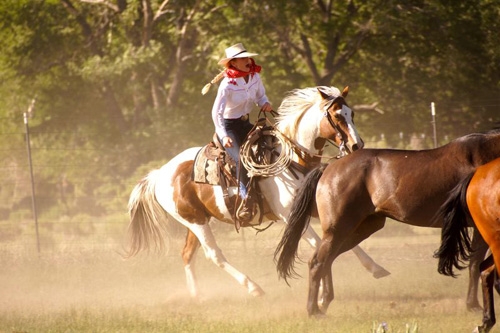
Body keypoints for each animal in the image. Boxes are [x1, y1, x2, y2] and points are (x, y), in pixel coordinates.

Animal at [123, 85, 388, 296]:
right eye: (335, 115)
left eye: (351, 113)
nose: (357, 145)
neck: (293, 160)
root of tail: (161, 173)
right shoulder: (290, 217)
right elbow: (318, 243)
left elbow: (337, 238)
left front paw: (377, 268)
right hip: (194, 221)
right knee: (214, 255)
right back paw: (253, 287)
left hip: (197, 221)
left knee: (188, 254)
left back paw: (196, 296)